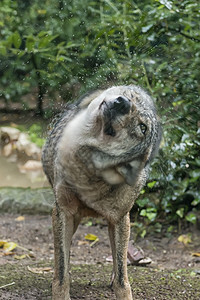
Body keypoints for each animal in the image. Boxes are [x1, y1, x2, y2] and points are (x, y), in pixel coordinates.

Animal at [41, 85, 161, 300]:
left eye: (142, 127)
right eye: (130, 97)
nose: (122, 102)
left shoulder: (120, 218)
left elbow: (122, 276)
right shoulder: (63, 212)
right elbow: (61, 270)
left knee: (118, 257)